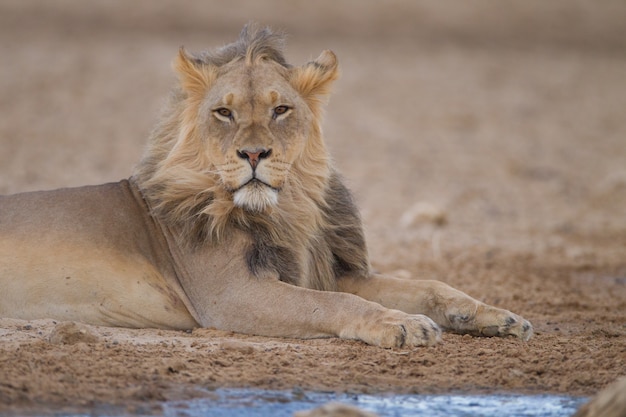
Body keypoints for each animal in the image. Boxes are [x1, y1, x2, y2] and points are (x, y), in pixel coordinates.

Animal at [0, 26, 532, 348]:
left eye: (280, 110)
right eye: (224, 112)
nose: (254, 155)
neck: (286, 211)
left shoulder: (322, 270)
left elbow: (428, 285)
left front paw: (496, 315)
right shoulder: (231, 294)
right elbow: (335, 304)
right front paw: (398, 323)